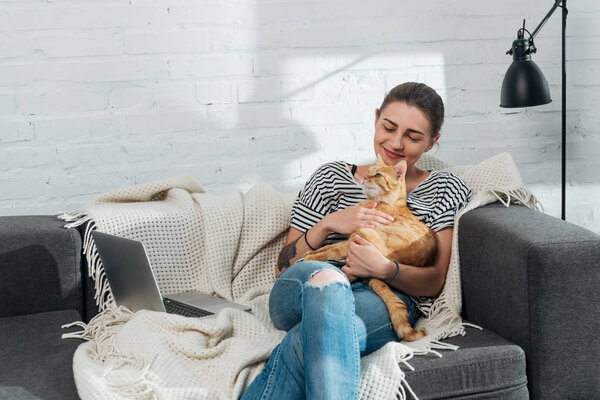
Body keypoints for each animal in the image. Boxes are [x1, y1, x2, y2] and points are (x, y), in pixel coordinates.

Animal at [304, 153, 436, 340]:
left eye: (378, 175)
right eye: (368, 172)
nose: (365, 178)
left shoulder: (355, 239)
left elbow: (331, 251)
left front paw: (312, 257)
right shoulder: (351, 237)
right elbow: (326, 248)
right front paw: (311, 252)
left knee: (348, 275)